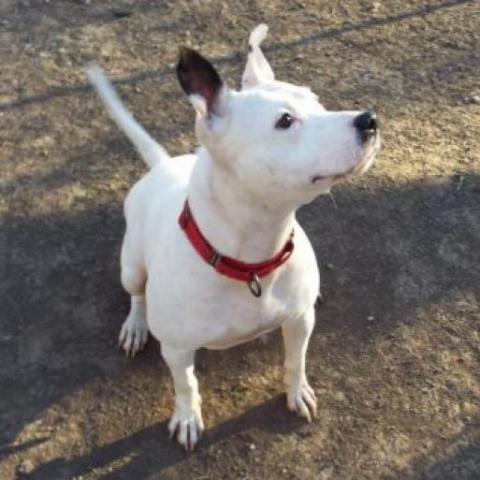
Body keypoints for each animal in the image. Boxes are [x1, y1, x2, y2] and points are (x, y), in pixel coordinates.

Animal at [85, 24, 378, 452]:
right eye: (285, 121)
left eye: (318, 102)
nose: (369, 120)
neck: (251, 259)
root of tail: (163, 165)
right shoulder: (176, 349)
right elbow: (185, 384)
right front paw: (187, 417)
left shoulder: (300, 321)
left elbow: (295, 361)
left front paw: (297, 392)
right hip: (131, 266)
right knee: (136, 293)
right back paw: (136, 325)